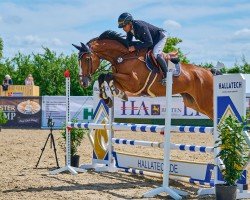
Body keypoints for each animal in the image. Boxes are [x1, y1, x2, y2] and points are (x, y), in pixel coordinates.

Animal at [72, 30, 217, 119]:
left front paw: (115, 94)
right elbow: (104, 77)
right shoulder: (124, 82)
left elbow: (106, 76)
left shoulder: (133, 83)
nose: (83, 82)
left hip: (206, 103)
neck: (123, 56)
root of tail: (208, 72)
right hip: (193, 103)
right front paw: (112, 97)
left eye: (87, 59)